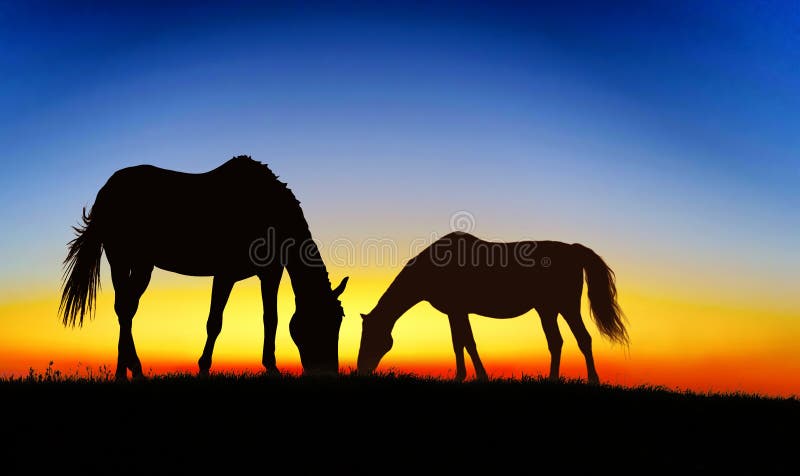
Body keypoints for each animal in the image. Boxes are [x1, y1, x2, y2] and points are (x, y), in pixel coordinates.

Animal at [61, 155, 348, 380]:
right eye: (318, 323)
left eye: (338, 322)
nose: (328, 373)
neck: (267, 210)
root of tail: (107, 189)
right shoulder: (225, 273)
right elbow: (214, 322)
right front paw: (203, 368)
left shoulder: (270, 273)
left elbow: (271, 318)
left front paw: (271, 367)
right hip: (120, 258)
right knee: (124, 308)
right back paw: (131, 370)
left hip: (140, 265)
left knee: (127, 309)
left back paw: (128, 371)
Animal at [360, 231, 628, 384]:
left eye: (371, 337)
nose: (361, 369)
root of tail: (573, 249)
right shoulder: (455, 313)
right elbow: (460, 343)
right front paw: (462, 376)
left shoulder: (458, 311)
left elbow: (467, 342)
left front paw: (478, 376)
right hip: (547, 310)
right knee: (556, 342)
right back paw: (552, 380)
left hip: (567, 307)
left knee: (583, 339)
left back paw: (593, 380)